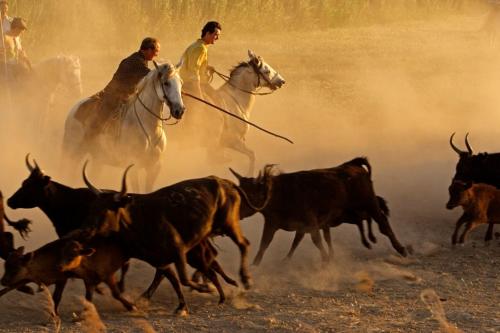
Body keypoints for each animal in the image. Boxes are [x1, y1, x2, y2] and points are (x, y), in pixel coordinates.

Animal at [61, 61, 185, 191]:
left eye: (181, 82)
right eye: (166, 83)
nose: (179, 111)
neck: (150, 131)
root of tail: (75, 107)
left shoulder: (154, 168)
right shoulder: (133, 166)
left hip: (98, 160)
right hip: (73, 153)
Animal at [230, 156, 406, 264]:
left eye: (251, 193)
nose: (236, 213)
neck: (279, 193)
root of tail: (353, 165)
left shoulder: (310, 222)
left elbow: (316, 241)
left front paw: (326, 260)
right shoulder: (274, 224)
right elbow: (265, 244)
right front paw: (255, 264)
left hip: (370, 204)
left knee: (383, 223)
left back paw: (401, 249)